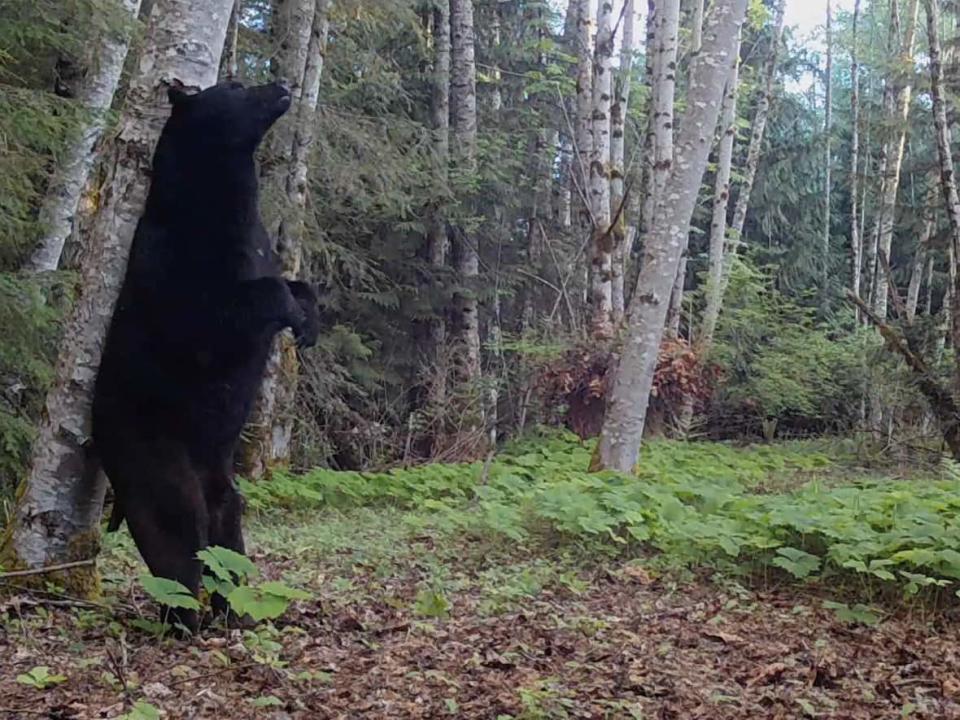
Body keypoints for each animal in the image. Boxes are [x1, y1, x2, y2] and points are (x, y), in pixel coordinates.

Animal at [91, 80, 320, 632]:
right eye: (235, 85)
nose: (282, 84)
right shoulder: (174, 267)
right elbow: (212, 318)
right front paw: (289, 311)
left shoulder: (257, 242)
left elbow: (290, 279)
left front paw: (310, 318)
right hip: (152, 452)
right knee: (176, 531)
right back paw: (183, 620)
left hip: (220, 476)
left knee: (226, 535)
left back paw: (237, 613)